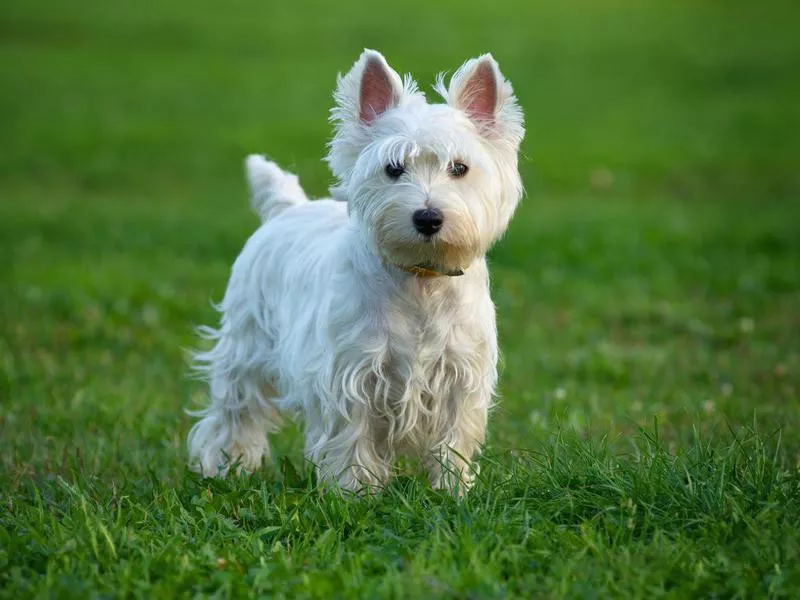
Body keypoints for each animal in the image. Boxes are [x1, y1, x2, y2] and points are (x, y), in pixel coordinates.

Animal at [187, 50, 524, 492]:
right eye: (393, 168)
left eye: (459, 168)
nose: (428, 218)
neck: (420, 280)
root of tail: (288, 208)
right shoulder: (351, 375)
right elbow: (352, 437)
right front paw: (354, 492)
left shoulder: (460, 376)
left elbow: (453, 440)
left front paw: (453, 490)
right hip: (246, 346)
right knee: (234, 412)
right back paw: (226, 468)